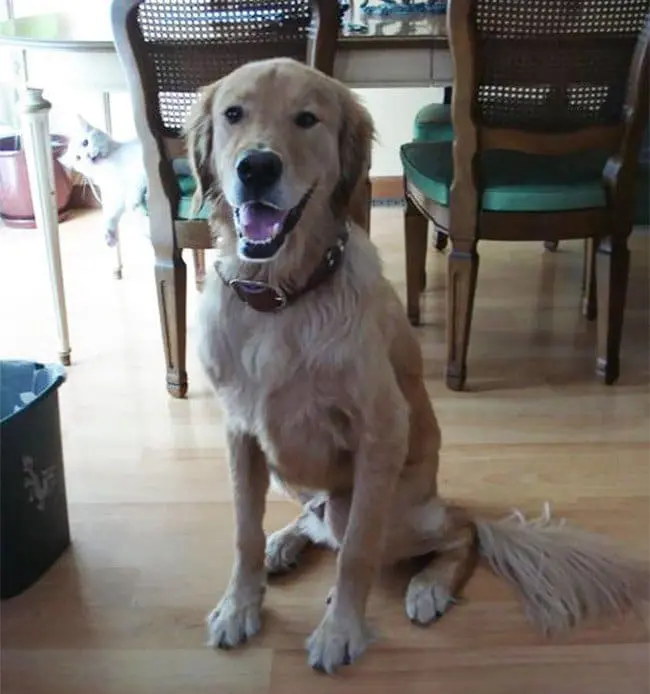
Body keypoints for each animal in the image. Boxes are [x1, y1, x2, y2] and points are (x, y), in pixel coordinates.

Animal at [185, 57, 644, 676]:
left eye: (307, 119)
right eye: (233, 114)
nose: (256, 167)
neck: (282, 298)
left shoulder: (380, 432)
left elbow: (356, 552)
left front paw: (341, 631)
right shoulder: (240, 434)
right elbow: (242, 532)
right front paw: (240, 605)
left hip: (388, 506)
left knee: (457, 532)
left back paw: (429, 586)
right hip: (293, 478)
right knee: (317, 523)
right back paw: (287, 541)